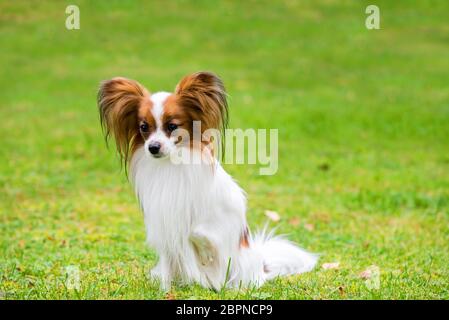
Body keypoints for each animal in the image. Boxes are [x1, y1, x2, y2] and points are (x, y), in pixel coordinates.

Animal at [97, 72, 316, 290]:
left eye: (172, 126)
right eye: (143, 127)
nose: (153, 147)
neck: (172, 164)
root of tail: (261, 267)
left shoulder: (223, 215)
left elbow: (198, 232)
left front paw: (203, 252)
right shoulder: (163, 224)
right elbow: (170, 259)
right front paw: (165, 290)